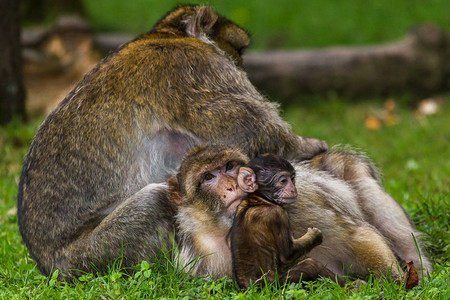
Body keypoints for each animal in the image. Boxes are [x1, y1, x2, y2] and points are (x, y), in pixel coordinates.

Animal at [229, 154, 344, 290]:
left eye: (292, 178)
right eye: (283, 181)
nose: (293, 189)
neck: (260, 199)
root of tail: (247, 289)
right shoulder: (278, 214)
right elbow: (288, 253)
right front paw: (315, 236)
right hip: (277, 286)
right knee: (310, 265)